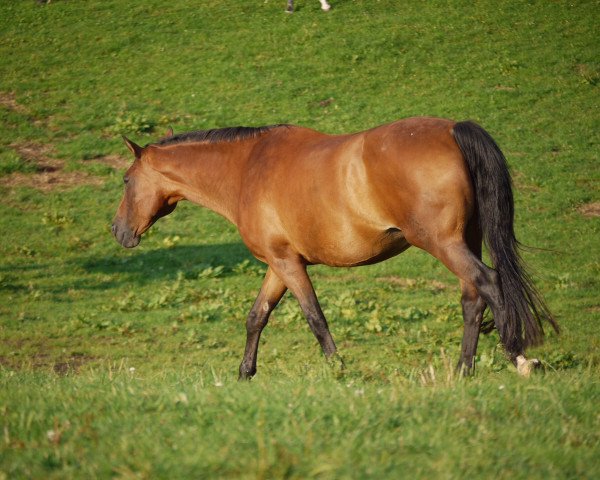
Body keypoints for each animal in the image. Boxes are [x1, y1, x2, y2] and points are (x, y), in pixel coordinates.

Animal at [112, 117, 556, 378]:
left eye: (126, 181)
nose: (118, 230)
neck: (248, 167)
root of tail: (451, 130)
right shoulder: (279, 263)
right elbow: (257, 317)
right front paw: (244, 373)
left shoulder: (288, 264)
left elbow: (314, 318)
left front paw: (338, 370)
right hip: (465, 241)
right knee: (473, 298)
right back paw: (464, 370)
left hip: (444, 244)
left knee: (490, 284)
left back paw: (517, 358)